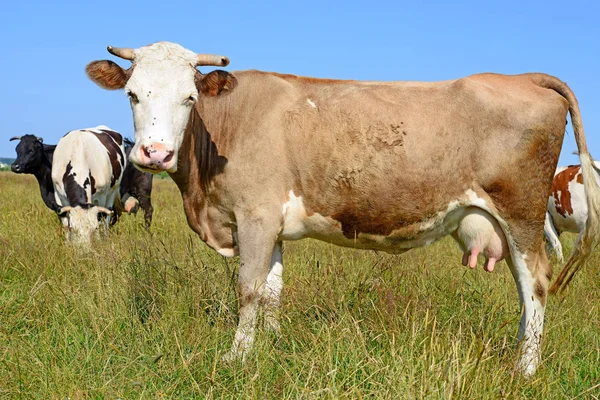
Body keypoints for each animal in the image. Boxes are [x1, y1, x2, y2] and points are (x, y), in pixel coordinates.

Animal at [85, 41, 600, 376]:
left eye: (189, 97)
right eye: (132, 93)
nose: (154, 154)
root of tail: (523, 77)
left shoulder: (255, 217)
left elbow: (248, 289)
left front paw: (236, 357)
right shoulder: (272, 225)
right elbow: (272, 291)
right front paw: (270, 346)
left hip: (522, 213)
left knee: (535, 282)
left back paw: (526, 367)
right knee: (525, 287)